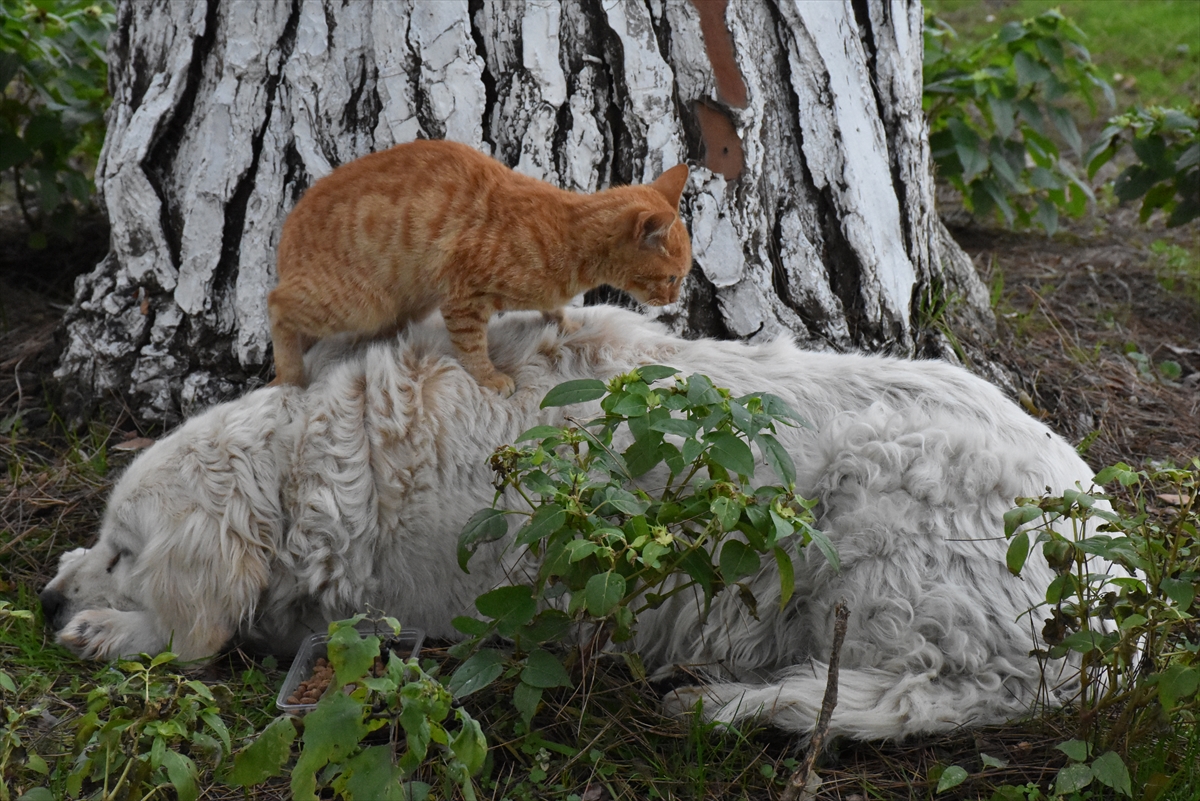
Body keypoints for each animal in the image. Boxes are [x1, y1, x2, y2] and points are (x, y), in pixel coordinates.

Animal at [42, 306, 1094, 738]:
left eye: (126, 553)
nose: (47, 599)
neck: (324, 468)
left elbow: (198, 630)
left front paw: (107, 627)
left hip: (883, 539)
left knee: (935, 691)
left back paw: (747, 704)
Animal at [267, 143, 691, 398]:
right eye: (673, 278)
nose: (674, 299)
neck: (568, 234)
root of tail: (287, 235)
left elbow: (554, 309)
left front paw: (567, 321)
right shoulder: (462, 298)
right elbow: (472, 347)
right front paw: (489, 377)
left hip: (409, 300)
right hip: (360, 302)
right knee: (276, 304)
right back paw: (289, 376)